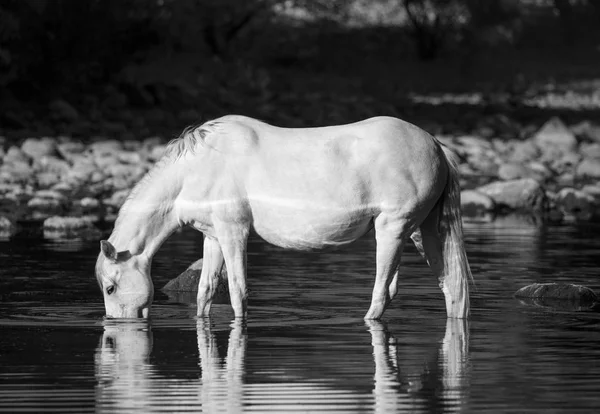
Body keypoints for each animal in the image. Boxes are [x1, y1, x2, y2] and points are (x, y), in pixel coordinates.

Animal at [95, 115, 468, 320]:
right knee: (450, 285)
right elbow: (205, 291)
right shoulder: (213, 235)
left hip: (392, 229)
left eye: (111, 287)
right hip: (422, 232)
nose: (116, 323)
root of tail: (435, 145)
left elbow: (238, 290)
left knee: (382, 292)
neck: (199, 167)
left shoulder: (234, 232)